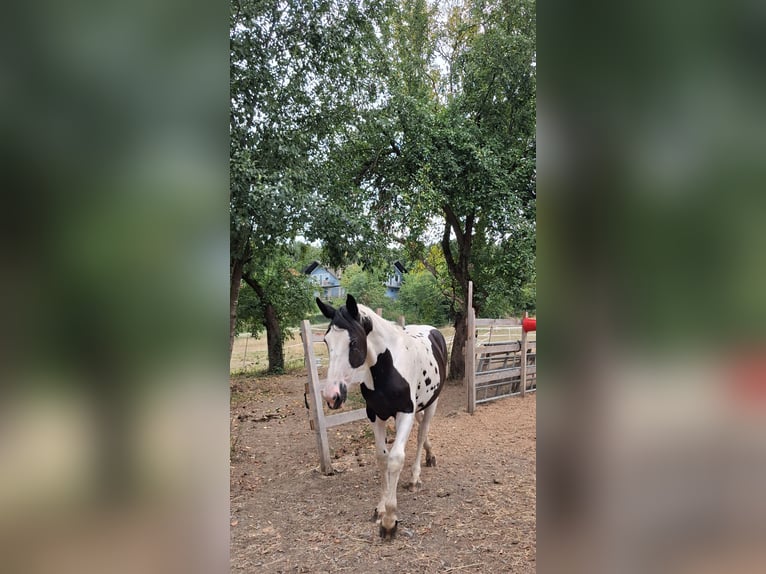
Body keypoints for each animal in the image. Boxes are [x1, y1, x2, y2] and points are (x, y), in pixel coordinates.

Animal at [316, 294, 448, 539]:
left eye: (353, 342)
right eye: (327, 341)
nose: (332, 396)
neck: (388, 368)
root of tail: (432, 331)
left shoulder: (405, 413)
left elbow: (395, 458)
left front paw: (389, 521)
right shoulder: (375, 414)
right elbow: (381, 457)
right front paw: (380, 508)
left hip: (431, 404)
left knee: (421, 434)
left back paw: (415, 477)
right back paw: (429, 456)